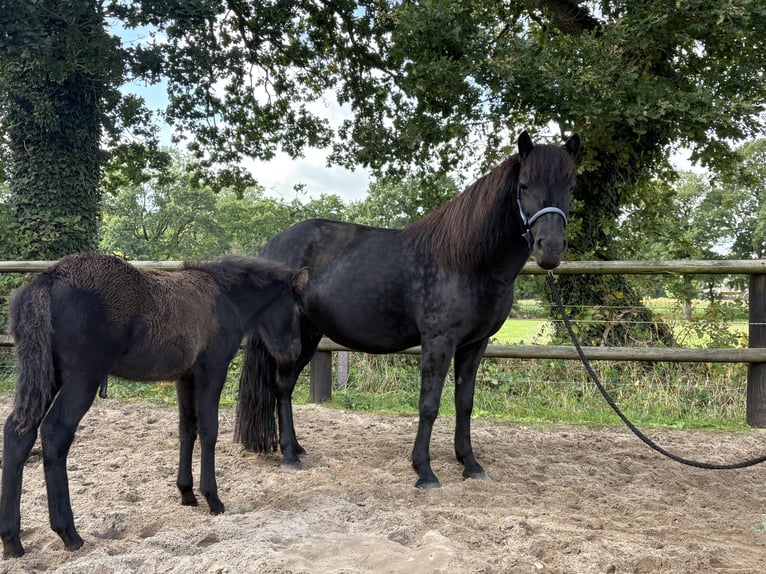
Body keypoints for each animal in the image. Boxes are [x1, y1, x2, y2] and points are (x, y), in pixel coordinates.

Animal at [0, 253, 306, 558]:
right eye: (296, 310)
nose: (293, 352)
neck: (224, 297)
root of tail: (50, 277)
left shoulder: (185, 377)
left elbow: (187, 429)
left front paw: (186, 492)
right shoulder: (212, 370)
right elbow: (209, 430)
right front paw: (213, 498)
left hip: (46, 375)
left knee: (18, 432)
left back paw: (12, 539)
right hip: (82, 378)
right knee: (55, 433)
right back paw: (68, 533)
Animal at [234, 130, 581, 489]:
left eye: (571, 187)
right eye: (524, 185)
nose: (551, 249)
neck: (465, 261)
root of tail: (273, 246)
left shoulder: (475, 345)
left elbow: (465, 403)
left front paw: (470, 464)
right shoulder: (439, 341)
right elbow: (429, 404)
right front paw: (424, 471)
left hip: (311, 334)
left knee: (284, 387)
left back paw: (297, 449)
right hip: (293, 336)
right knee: (282, 385)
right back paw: (289, 455)